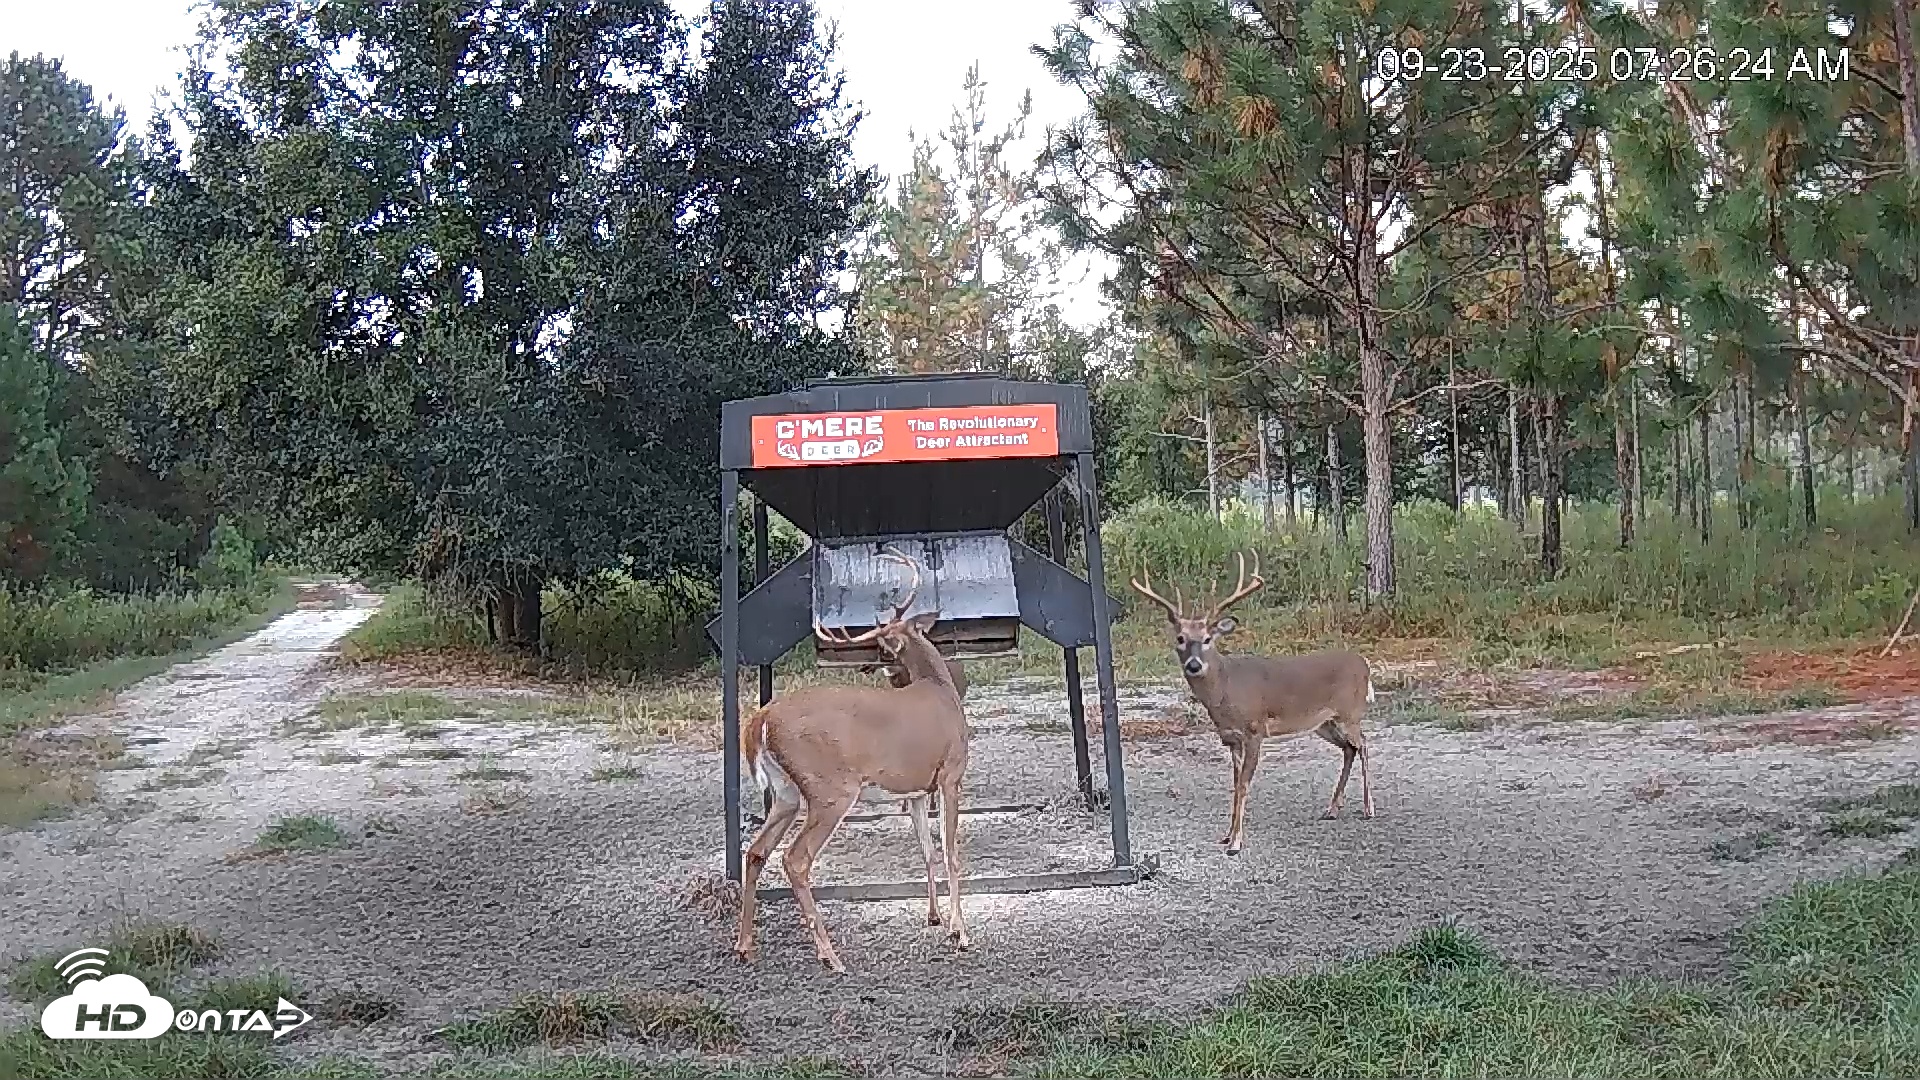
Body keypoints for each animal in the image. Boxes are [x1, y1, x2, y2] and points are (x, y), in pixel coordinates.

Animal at [734, 548, 970, 973]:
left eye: (882, 647)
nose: (867, 663)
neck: (939, 688)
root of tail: (761, 720)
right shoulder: (950, 773)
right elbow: (950, 853)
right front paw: (960, 933)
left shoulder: (914, 790)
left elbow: (927, 852)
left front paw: (935, 918)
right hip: (831, 788)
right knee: (795, 859)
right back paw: (830, 956)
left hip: (786, 792)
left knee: (757, 851)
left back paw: (744, 946)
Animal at [1129, 551, 1375, 856]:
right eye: (1180, 638)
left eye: (1208, 638)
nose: (1194, 665)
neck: (1226, 691)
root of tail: (1364, 662)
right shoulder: (1231, 738)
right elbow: (1235, 784)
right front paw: (1226, 835)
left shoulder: (1255, 730)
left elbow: (1245, 784)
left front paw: (1236, 842)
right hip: (1324, 723)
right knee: (1349, 750)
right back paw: (1332, 808)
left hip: (1349, 713)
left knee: (1364, 745)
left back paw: (1368, 808)